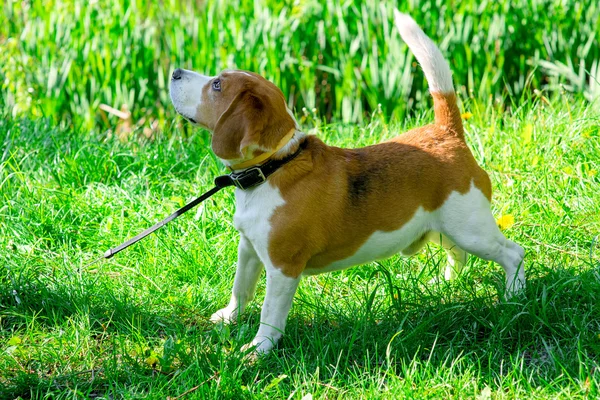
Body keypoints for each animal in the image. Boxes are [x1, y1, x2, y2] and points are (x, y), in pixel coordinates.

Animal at [169, 10, 524, 354]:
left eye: (217, 85)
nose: (174, 72)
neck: (275, 166)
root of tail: (445, 132)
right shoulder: (249, 248)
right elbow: (240, 287)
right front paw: (229, 317)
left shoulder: (283, 267)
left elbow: (270, 313)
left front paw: (259, 349)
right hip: (440, 226)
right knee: (457, 253)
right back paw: (447, 285)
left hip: (471, 229)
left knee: (512, 253)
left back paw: (513, 297)